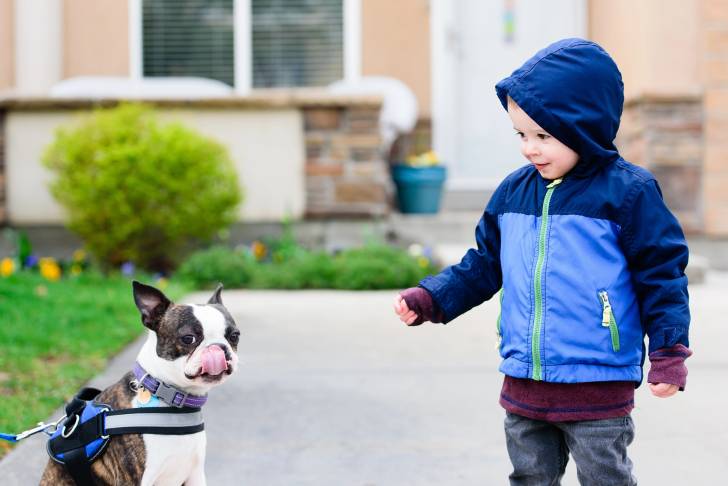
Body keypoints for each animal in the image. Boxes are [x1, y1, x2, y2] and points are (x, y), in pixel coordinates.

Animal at [40, 280, 239, 486]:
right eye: (188, 338)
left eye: (234, 336)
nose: (218, 348)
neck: (168, 397)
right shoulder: (136, 478)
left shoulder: (195, 475)